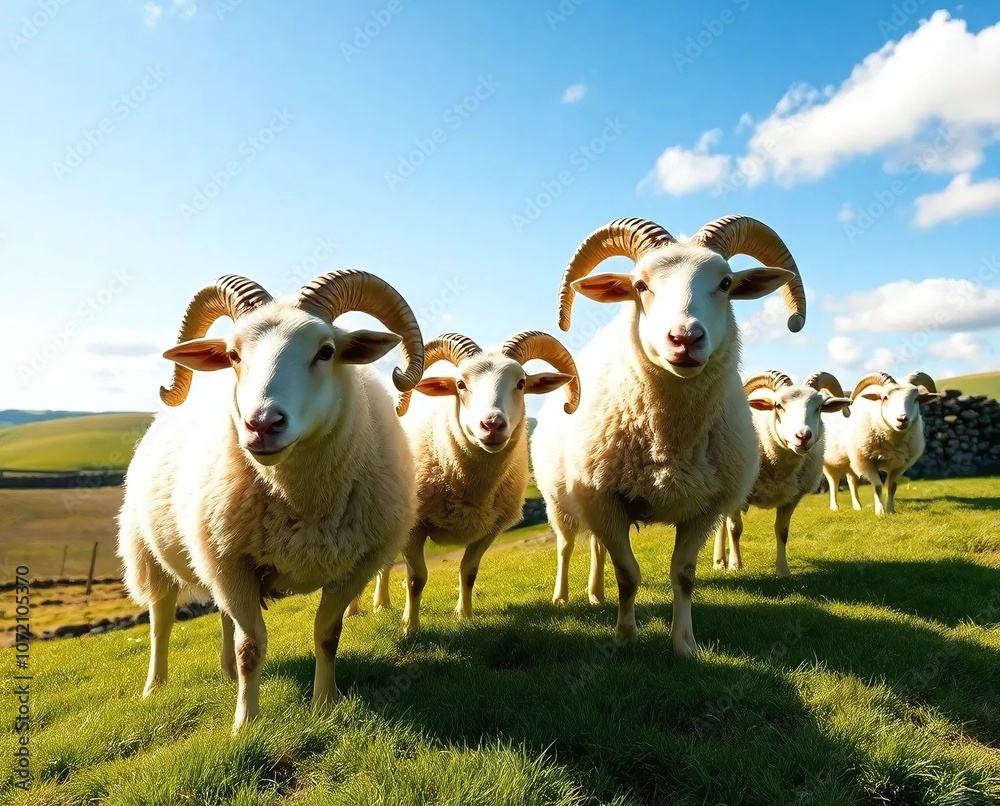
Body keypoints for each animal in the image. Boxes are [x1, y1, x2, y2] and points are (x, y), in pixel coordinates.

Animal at [116, 270, 425, 732]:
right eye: (233, 355)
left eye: (327, 351)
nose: (262, 424)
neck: (304, 502)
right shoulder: (231, 563)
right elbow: (251, 648)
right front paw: (245, 724)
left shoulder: (355, 565)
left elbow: (327, 635)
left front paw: (325, 703)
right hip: (149, 553)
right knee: (161, 621)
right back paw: (156, 686)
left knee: (222, 615)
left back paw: (225, 673)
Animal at [346, 331, 580, 632]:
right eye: (460, 384)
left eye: (521, 383)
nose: (492, 425)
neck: (470, 488)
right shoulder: (416, 525)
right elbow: (416, 578)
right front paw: (410, 627)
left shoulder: (491, 527)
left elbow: (469, 571)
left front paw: (465, 615)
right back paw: (355, 608)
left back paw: (381, 604)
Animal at [530, 215, 807, 653]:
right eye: (640, 285)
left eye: (726, 283)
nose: (685, 339)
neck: (670, 444)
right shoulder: (603, 498)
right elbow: (628, 574)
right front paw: (625, 637)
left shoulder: (705, 508)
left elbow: (684, 575)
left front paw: (683, 644)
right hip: (561, 501)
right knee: (566, 546)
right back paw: (563, 597)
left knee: (595, 547)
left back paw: (596, 594)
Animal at [712, 370, 852, 577]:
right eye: (778, 405)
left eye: (819, 407)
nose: (803, 436)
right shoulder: (739, 489)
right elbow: (735, 528)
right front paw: (735, 565)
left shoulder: (792, 497)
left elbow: (782, 531)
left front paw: (783, 570)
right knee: (721, 522)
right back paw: (720, 561)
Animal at [821, 371, 942, 515]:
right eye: (885, 397)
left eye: (916, 398)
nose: (902, 419)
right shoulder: (866, 462)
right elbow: (878, 486)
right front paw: (880, 512)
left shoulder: (900, 465)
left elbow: (892, 487)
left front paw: (890, 510)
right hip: (828, 461)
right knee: (833, 481)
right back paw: (834, 507)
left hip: (850, 460)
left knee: (851, 480)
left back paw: (857, 506)